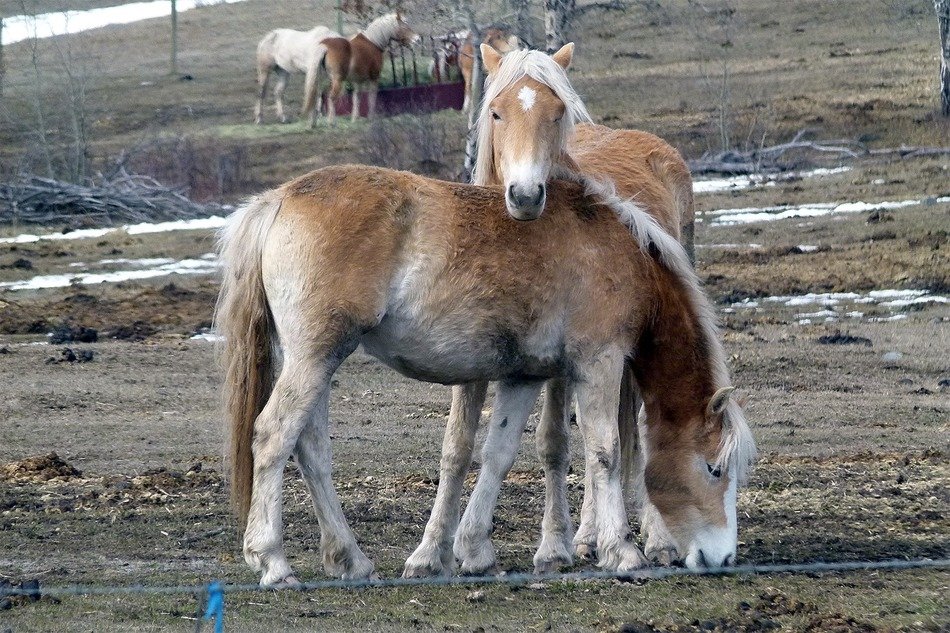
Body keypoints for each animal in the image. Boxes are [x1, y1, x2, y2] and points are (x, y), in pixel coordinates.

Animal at [403, 44, 701, 578]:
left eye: (556, 112)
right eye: (496, 112)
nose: (525, 194)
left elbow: (555, 443)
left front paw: (552, 547)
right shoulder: (477, 359)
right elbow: (458, 447)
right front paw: (429, 551)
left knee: (638, 431)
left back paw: (654, 538)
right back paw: (590, 537)